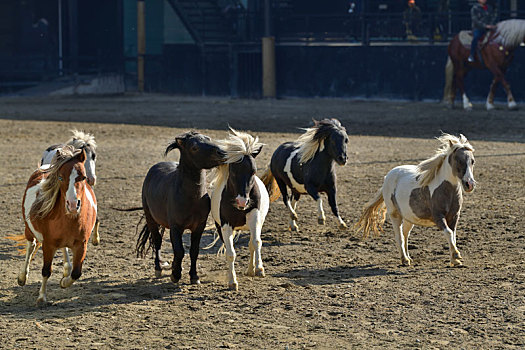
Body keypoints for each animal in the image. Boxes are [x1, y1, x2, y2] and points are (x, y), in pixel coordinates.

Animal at [135, 131, 225, 284]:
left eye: (209, 139)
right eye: (194, 147)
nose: (221, 152)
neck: (192, 198)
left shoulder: (199, 226)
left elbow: (194, 251)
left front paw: (194, 276)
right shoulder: (176, 227)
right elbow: (179, 250)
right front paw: (175, 274)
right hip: (150, 218)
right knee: (157, 240)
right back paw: (158, 268)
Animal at [209, 128, 268, 290]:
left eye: (253, 171)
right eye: (234, 171)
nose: (242, 201)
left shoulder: (254, 217)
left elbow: (256, 242)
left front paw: (259, 269)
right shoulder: (226, 225)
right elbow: (230, 253)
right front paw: (232, 281)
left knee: (252, 244)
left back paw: (251, 270)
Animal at [356, 134, 474, 268]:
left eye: (472, 161)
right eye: (459, 160)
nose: (469, 184)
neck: (446, 190)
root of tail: (388, 176)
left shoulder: (454, 216)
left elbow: (453, 236)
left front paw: (455, 260)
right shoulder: (438, 217)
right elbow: (448, 233)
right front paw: (456, 255)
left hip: (409, 217)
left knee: (405, 234)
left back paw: (408, 257)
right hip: (394, 214)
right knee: (399, 236)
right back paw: (404, 260)